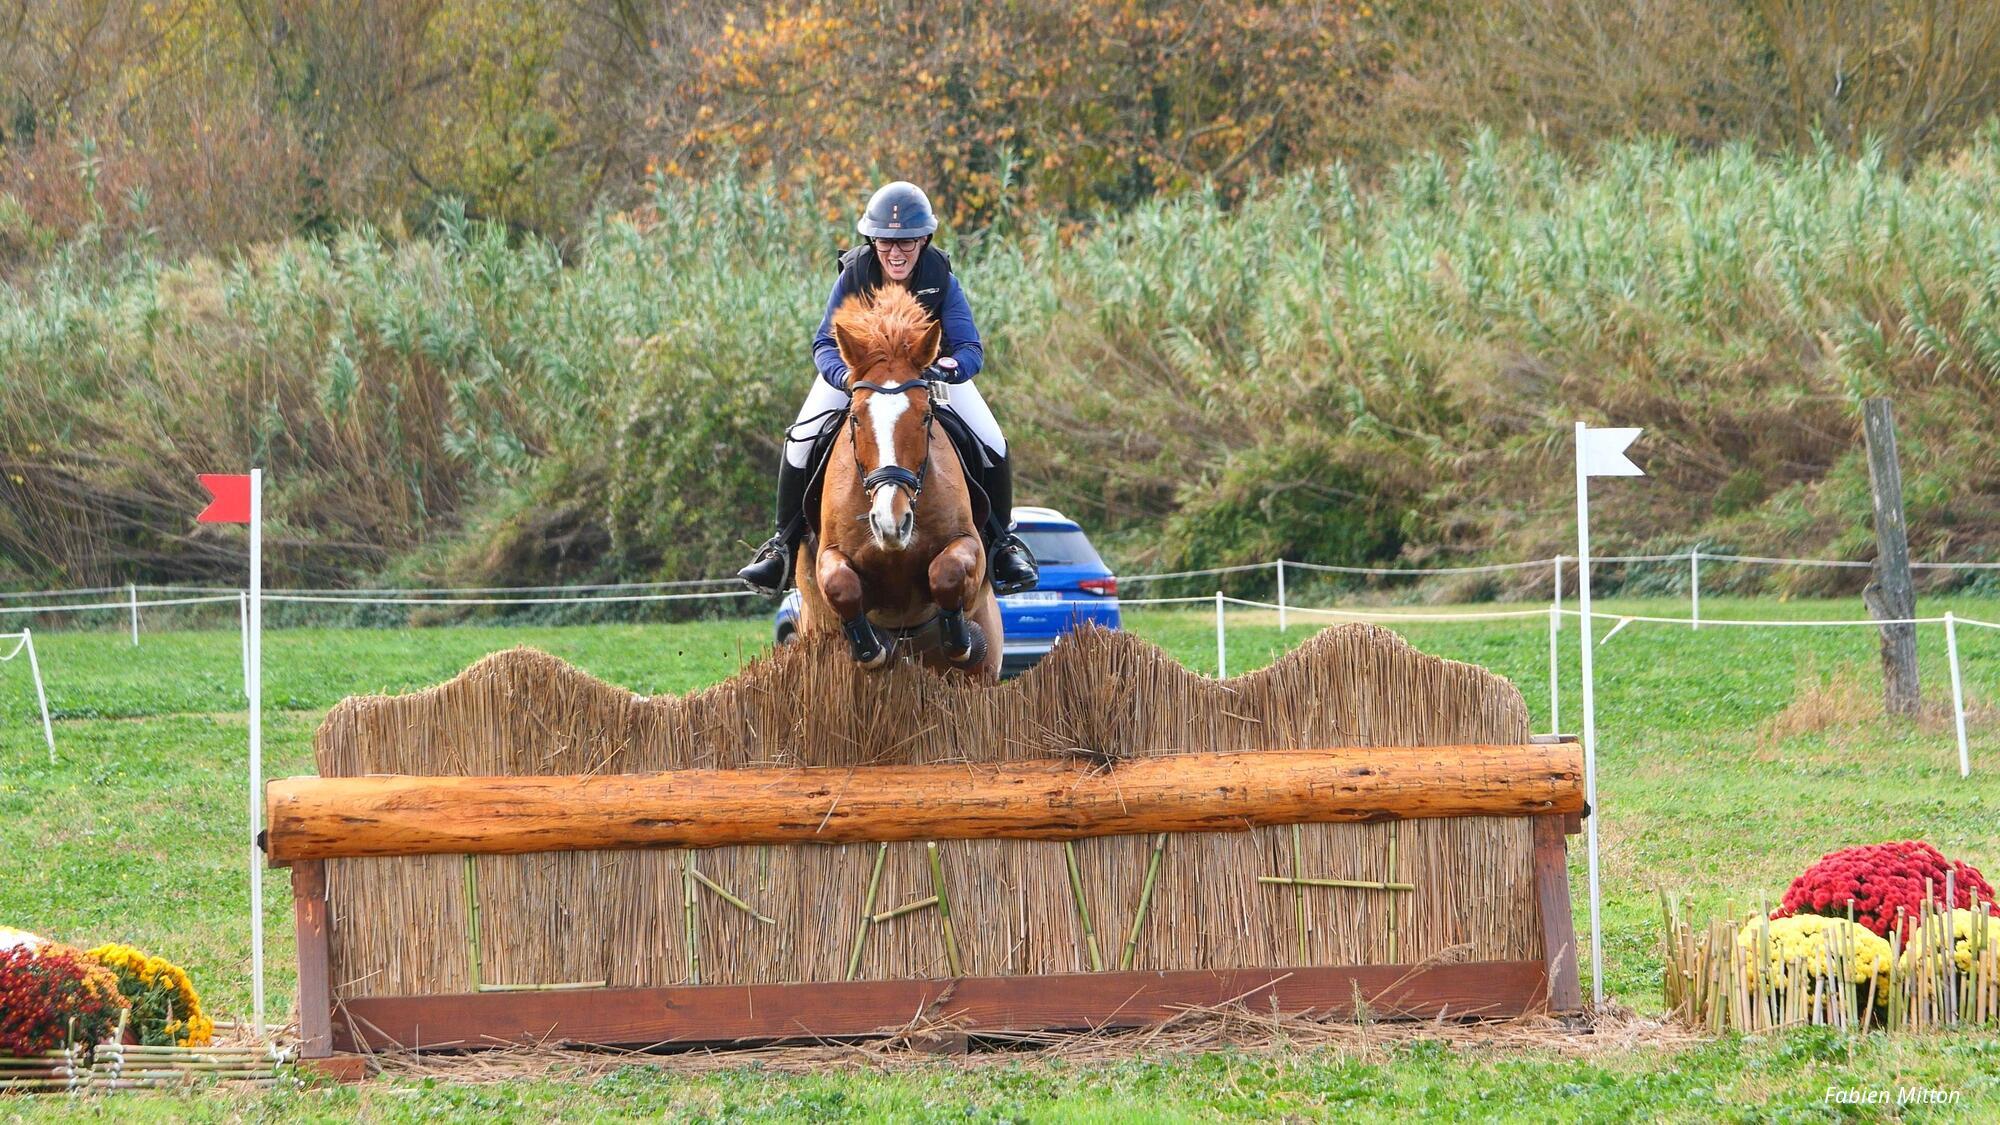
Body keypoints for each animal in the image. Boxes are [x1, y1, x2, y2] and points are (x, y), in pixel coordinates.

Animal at [792, 285, 1003, 680]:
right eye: (856, 419)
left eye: (925, 417)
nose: (891, 523)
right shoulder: (829, 555)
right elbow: (841, 585)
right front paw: (874, 649)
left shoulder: (970, 547)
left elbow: (947, 572)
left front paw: (960, 640)